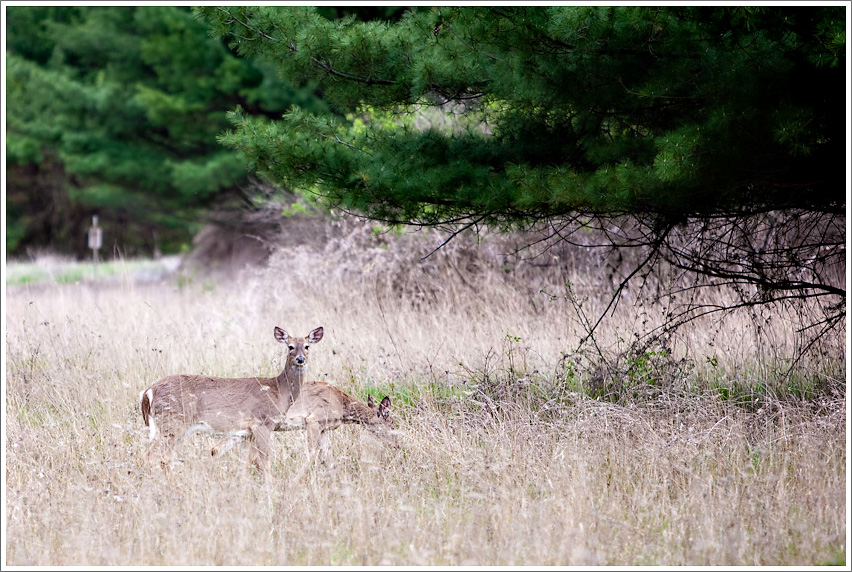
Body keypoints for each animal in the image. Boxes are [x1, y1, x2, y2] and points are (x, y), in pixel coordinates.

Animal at [138, 326, 324, 478]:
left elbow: (244, 465)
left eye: (307, 346)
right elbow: (264, 462)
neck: (278, 391)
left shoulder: (246, 432)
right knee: (152, 456)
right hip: (172, 423)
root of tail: (148, 392)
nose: (300, 359)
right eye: (290, 346)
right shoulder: (262, 423)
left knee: (161, 457)